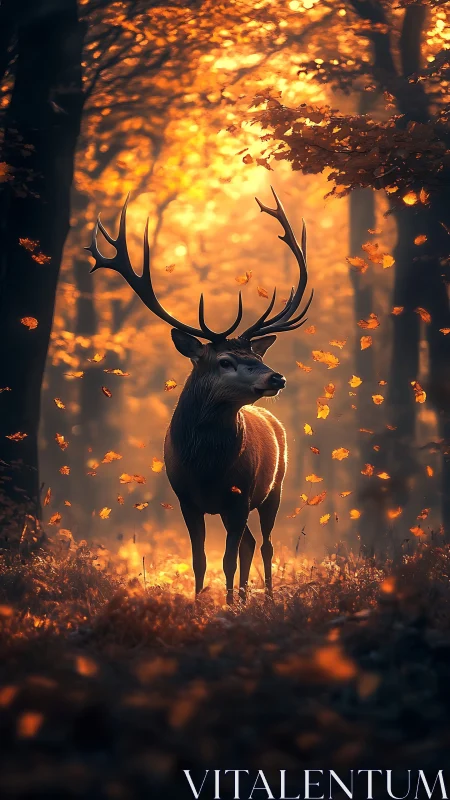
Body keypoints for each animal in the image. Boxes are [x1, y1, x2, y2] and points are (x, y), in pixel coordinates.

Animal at [87, 188, 313, 603]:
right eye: (224, 360)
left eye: (258, 357)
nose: (277, 377)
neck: (207, 466)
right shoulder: (187, 499)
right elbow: (200, 560)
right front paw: (200, 603)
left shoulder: (239, 496)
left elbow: (227, 559)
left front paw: (227, 607)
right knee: (251, 543)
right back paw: (245, 597)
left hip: (274, 487)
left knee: (266, 543)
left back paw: (266, 597)